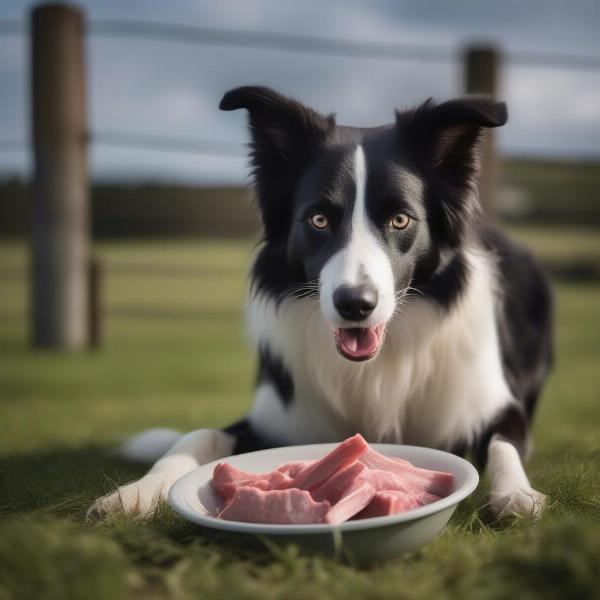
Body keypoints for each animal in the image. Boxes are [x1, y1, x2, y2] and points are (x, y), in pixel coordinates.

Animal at [89, 85, 552, 520]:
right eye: (319, 219)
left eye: (400, 219)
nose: (355, 304)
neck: (370, 372)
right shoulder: (278, 417)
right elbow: (198, 435)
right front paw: (134, 493)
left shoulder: (493, 408)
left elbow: (504, 444)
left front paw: (516, 493)